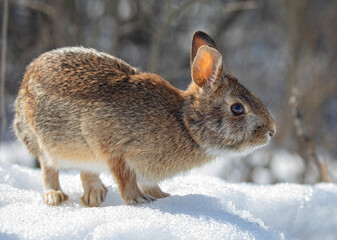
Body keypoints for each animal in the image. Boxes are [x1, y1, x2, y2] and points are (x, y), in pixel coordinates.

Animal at [13, 30, 276, 206]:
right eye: (237, 108)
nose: (271, 131)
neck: (184, 122)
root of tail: (25, 80)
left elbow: (149, 182)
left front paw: (162, 196)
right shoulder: (115, 149)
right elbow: (125, 178)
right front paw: (139, 200)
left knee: (87, 172)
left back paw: (95, 194)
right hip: (47, 142)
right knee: (48, 168)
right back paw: (54, 195)